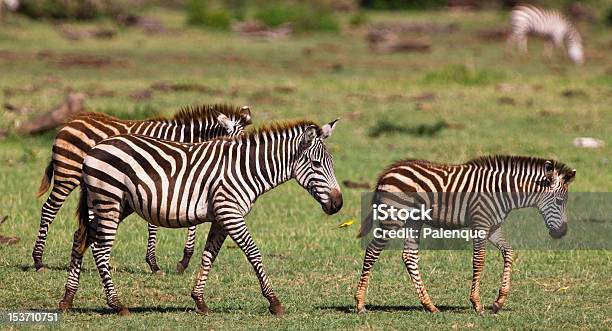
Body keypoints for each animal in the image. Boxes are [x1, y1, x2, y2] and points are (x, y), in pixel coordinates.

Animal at [32, 105, 253, 274]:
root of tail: (70, 122)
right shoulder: (159, 181)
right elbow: (154, 223)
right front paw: (154, 264)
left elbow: (191, 220)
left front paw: (183, 260)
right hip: (67, 176)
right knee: (49, 210)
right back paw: (39, 261)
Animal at [57, 119, 344, 316]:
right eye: (317, 164)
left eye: (331, 163)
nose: (338, 203)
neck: (246, 169)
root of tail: (94, 149)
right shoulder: (230, 212)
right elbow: (253, 253)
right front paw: (274, 302)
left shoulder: (221, 217)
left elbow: (209, 255)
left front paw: (199, 300)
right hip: (109, 199)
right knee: (100, 249)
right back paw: (117, 304)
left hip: (113, 203)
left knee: (80, 238)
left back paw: (67, 300)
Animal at [356, 157, 576, 316]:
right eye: (559, 201)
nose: (562, 233)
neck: (502, 192)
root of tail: (387, 172)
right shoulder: (480, 224)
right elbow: (479, 260)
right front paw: (477, 304)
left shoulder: (493, 227)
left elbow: (509, 252)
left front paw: (499, 302)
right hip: (393, 218)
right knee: (372, 251)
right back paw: (359, 304)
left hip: (413, 220)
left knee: (409, 256)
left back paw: (430, 305)